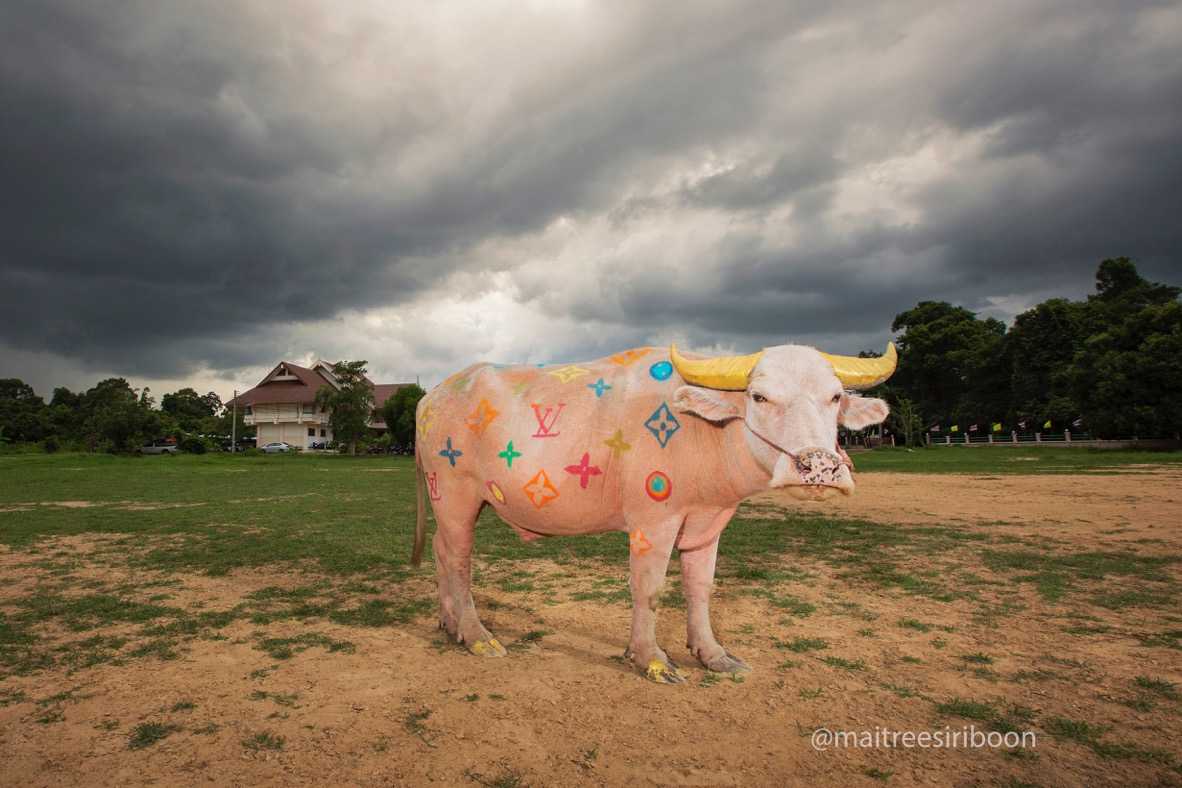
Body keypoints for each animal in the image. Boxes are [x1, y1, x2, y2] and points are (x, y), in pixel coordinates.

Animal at [411, 342, 888, 680]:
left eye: (834, 398)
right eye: (759, 396)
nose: (820, 465)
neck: (704, 434)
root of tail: (430, 398)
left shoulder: (709, 523)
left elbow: (700, 588)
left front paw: (713, 654)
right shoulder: (652, 521)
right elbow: (650, 587)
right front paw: (650, 659)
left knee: (440, 550)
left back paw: (448, 623)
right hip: (453, 493)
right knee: (459, 559)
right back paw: (477, 635)